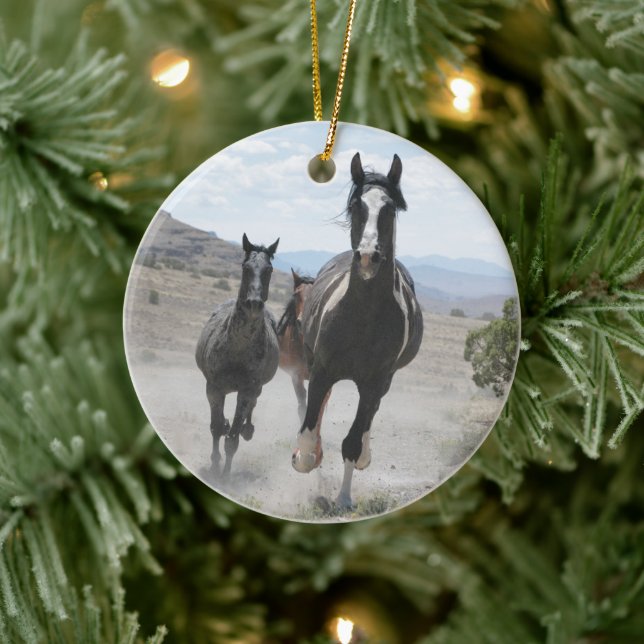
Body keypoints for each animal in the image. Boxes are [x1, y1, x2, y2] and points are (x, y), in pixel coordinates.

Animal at [196, 233, 280, 478]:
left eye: (269, 269)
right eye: (246, 267)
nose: (254, 304)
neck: (237, 349)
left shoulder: (247, 390)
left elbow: (232, 439)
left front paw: (224, 477)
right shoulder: (214, 388)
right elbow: (216, 428)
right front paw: (215, 466)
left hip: (256, 389)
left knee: (251, 408)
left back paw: (247, 429)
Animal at [293, 152, 423, 509]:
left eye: (389, 209)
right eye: (355, 206)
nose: (367, 257)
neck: (362, 316)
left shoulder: (375, 381)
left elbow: (352, 440)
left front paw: (343, 498)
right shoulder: (322, 369)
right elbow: (308, 434)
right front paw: (307, 457)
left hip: (384, 381)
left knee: (368, 418)